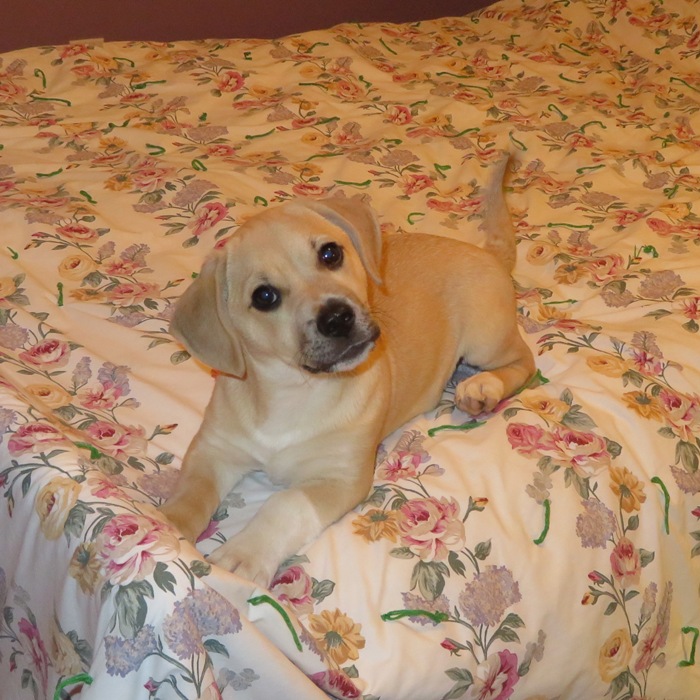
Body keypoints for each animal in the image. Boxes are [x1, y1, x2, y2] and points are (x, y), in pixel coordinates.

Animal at [161, 157, 532, 584]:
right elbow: (191, 492)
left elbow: (284, 505)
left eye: (330, 254)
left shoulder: (338, 477)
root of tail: (487, 253)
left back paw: (483, 387)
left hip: (486, 338)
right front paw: (164, 527)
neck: (293, 391)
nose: (337, 317)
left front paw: (244, 554)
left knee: (525, 360)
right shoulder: (214, 450)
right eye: (264, 296)